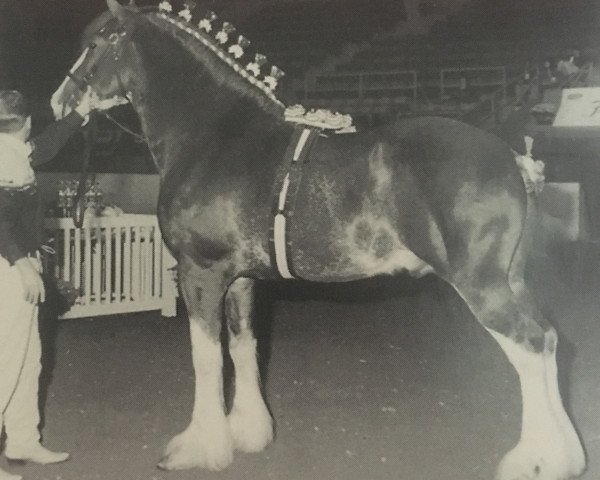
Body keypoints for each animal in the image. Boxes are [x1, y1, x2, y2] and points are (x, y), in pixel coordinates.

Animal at [50, 1, 584, 478]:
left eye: (95, 44)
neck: (216, 137)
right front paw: (249, 433)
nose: (58, 103)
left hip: (482, 287)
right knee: (550, 338)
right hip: (512, 281)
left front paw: (198, 447)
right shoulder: (241, 279)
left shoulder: (201, 273)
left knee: (530, 344)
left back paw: (535, 461)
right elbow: (242, 347)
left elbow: (206, 357)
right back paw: (566, 456)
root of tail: (512, 158)